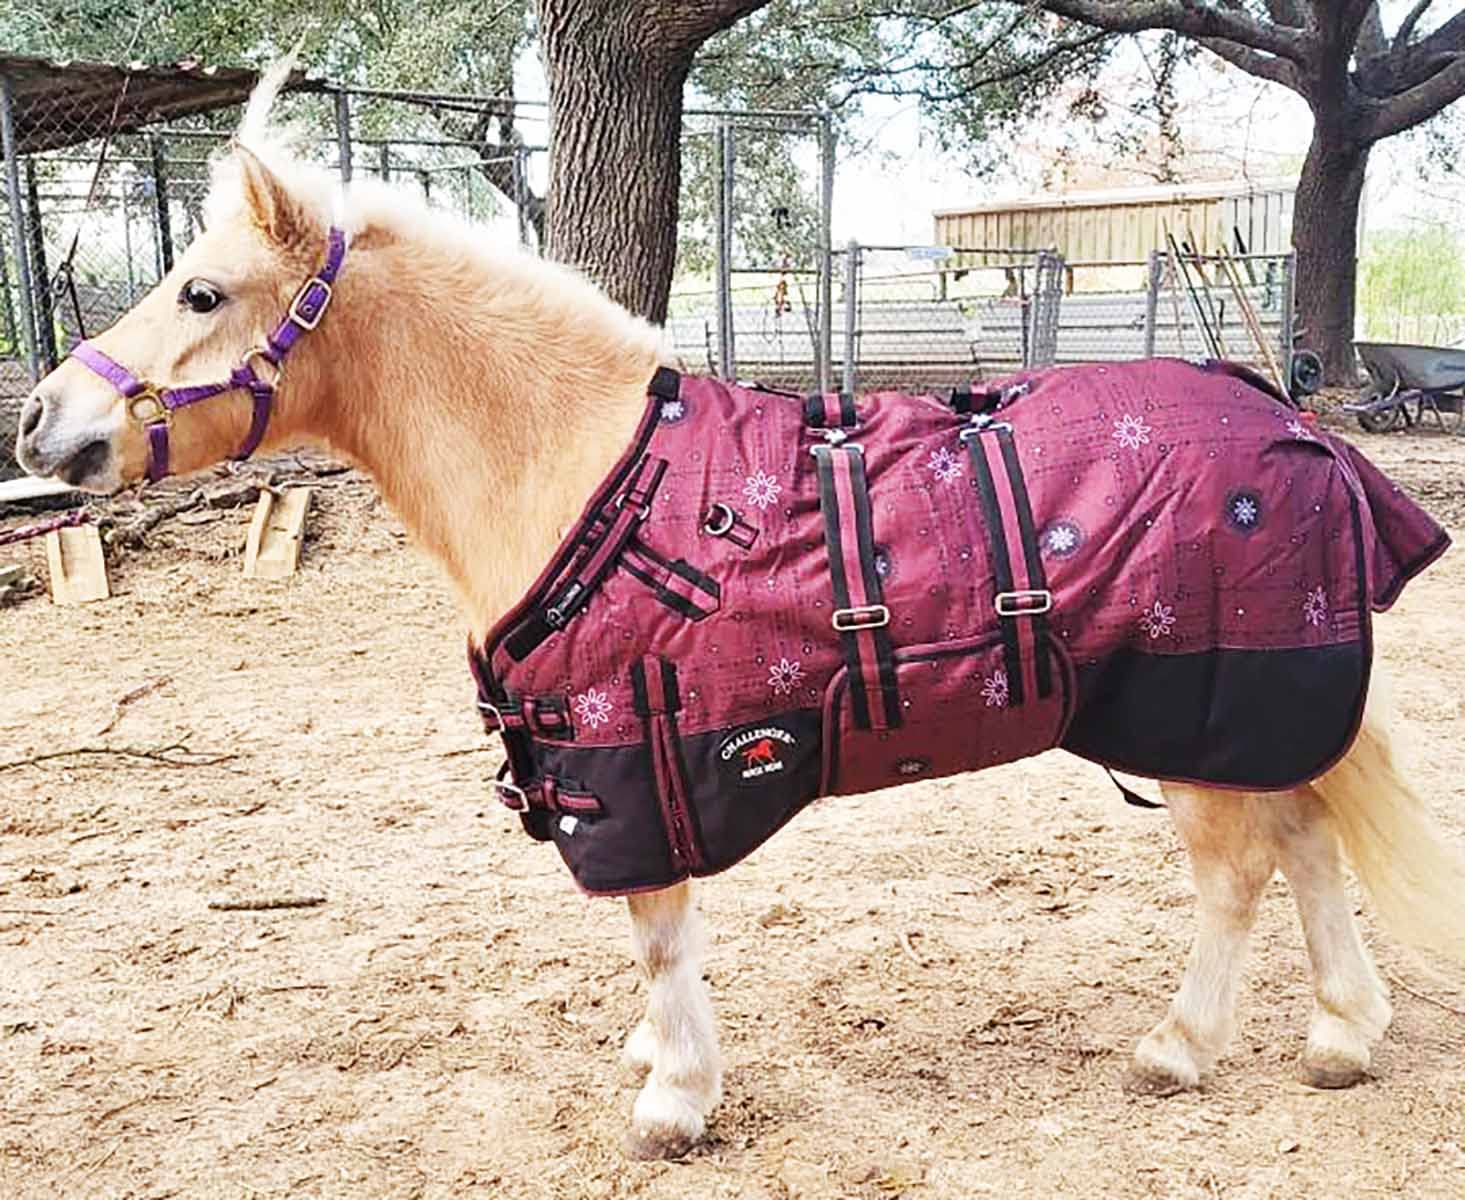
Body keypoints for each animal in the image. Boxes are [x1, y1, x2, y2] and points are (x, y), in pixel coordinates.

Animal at [15, 69, 1465, 1160]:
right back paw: (1340, 1033)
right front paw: (659, 1061)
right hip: (1250, 718)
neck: (583, 467)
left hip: (1197, 715)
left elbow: (659, 937)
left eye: (203, 293)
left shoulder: (634, 769)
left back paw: (1180, 1047)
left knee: (1237, 871)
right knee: (1306, 838)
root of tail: (1292, 424)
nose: (39, 421)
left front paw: (674, 1097)